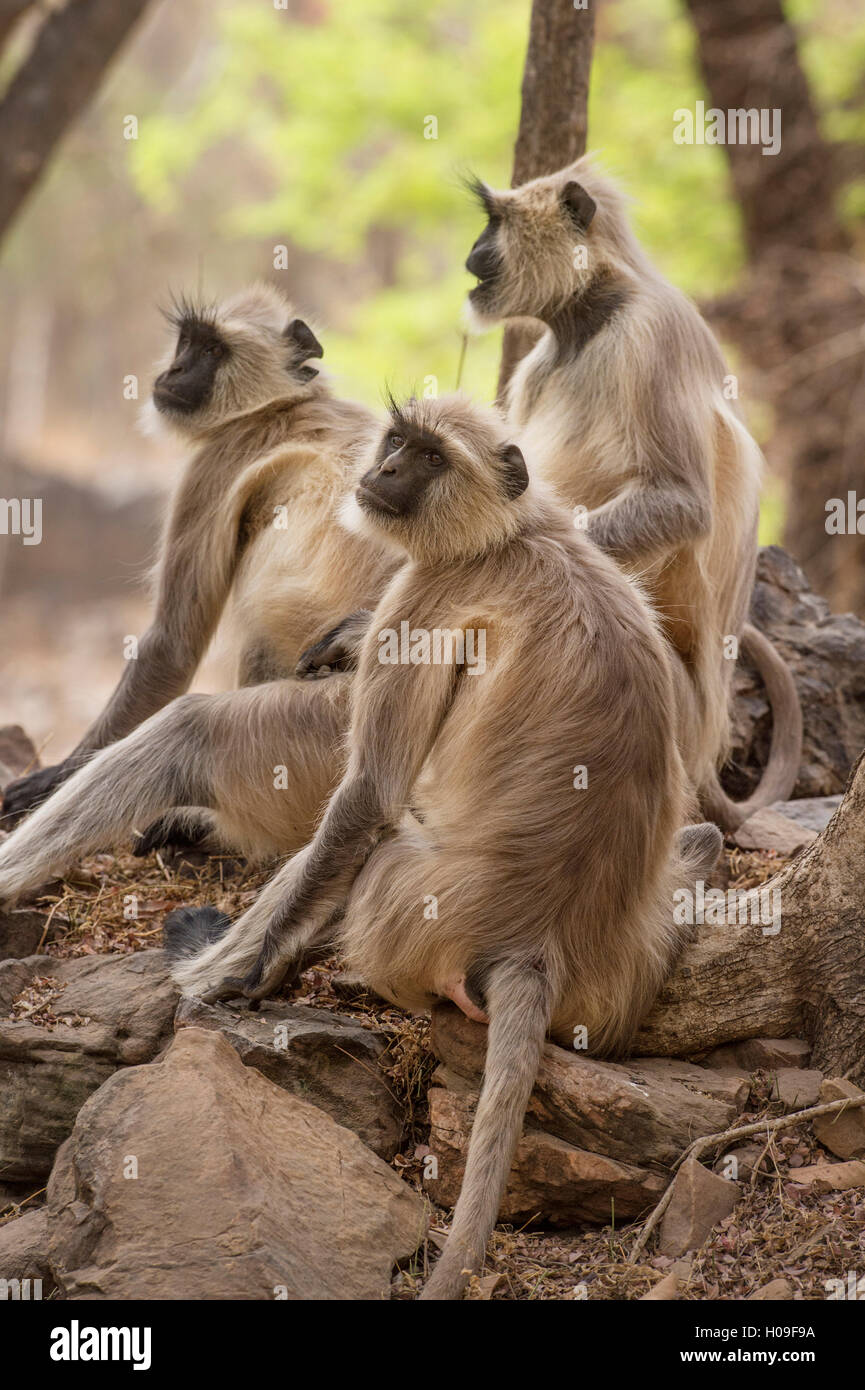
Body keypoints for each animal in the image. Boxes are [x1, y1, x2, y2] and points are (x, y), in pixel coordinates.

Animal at [0, 287, 392, 906]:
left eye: (210, 350)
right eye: (187, 342)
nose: (175, 371)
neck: (284, 405)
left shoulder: (217, 461)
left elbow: (171, 647)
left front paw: (48, 778)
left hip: (335, 729)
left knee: (188, 728)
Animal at [166, 394, 723, 1301]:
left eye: (429, 458)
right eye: (398, 442)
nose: (385, 471)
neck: (508, 534)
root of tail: (539, 944)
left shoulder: (424, 596)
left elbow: (368, 796)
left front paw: (228, 971)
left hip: (408, 911)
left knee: (378, 853)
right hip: (625, 972)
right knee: (696, 845)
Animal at [467, 162, 806, 834]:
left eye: (494, 222)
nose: (472, 253)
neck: (590, 316)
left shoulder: (651, 331)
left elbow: (680, 503)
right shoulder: (535, 366)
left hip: (674, 710)